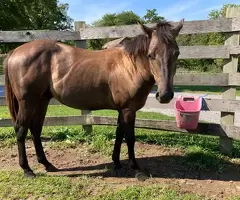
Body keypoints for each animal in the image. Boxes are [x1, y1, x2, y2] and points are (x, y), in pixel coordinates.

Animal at [3, 19, 184, 180]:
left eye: (176, 53)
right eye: (150, 55)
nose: (165, 95)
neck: (129, 67)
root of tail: (15, 52)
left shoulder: (121, 109)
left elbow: (119, 134)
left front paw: (117, 163)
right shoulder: (128, 109)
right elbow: (130, 137)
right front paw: (136, 170)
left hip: (41, 101)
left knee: (36, 129)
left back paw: (47, 164)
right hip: (27, 102)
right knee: (21, 130)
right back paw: (27, 170)